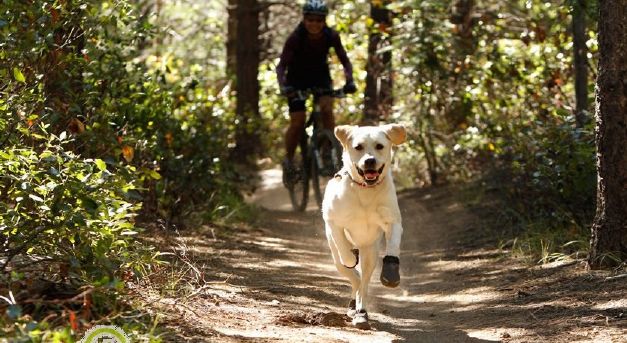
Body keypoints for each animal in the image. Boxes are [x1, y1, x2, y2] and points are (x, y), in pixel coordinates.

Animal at [322, 124, 404, 330]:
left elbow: (393, 245)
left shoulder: (393, 220)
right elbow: (344, 249)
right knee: (354, 277)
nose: (370, 161)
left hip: (370, 253)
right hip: (336, 260)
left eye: (379, 146)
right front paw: (351, 257)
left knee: (363, 284)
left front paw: (391, 272)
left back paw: (361, 312)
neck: (365, 189)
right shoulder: (333, 221)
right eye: (358, 147)